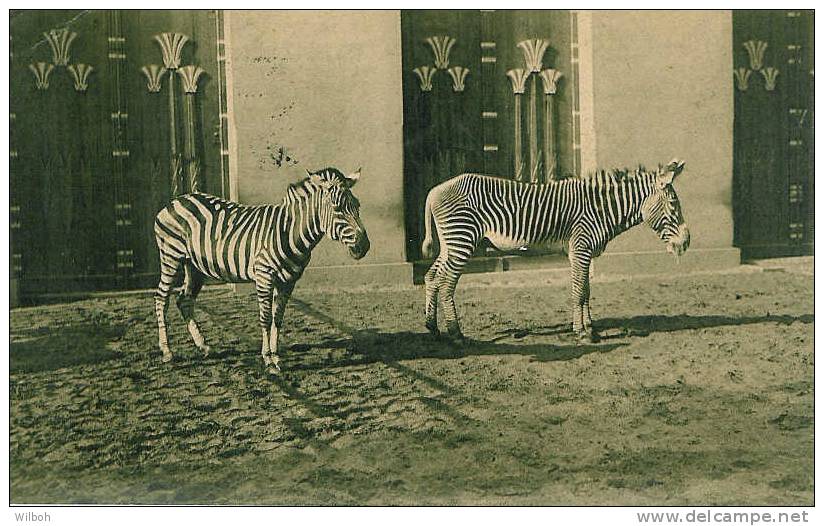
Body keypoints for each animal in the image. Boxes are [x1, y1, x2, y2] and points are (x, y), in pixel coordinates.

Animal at [154, 168, 370, 372]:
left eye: (358, 205)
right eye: (337, 208)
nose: (364, 246)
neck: (290, 231)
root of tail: (179, 199)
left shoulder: (288, 281)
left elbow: (278, 319)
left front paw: (275, 355)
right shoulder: (264, 275)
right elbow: (265, 318)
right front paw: (268, 360)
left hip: (194, 265)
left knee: (184, 299)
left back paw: (203, 346)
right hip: (171, 256)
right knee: (161, 298)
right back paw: (167, 352)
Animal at [422, 159, 692, 344]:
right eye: (673, 204)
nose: (687, 242)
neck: (600, 209)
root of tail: (434, 190)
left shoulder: (583, 253)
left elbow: (586, 290)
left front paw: (590, 327)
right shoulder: (580, 248)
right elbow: (578, 291)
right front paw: (582, 333)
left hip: (451, 243)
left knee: (432, 277)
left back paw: (433, 328)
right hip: (462, 240)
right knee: (446, 283)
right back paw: (456, 334)